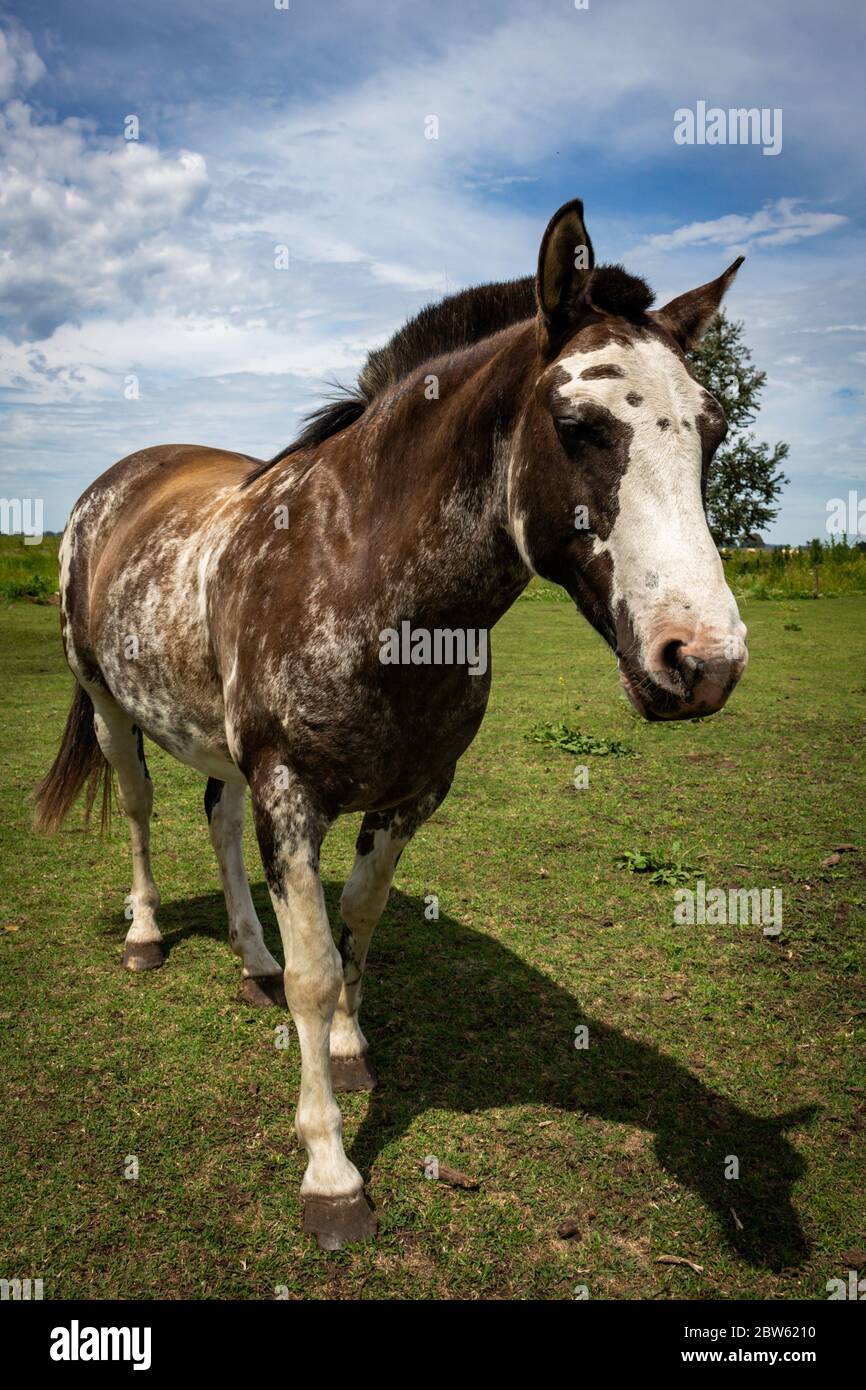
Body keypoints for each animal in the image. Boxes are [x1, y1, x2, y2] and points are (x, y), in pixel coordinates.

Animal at [33, 202, 750, 1251]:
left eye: (712, 432)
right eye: (577, 426)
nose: (703, 660)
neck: (365, 575)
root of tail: (115, 483)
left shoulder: (412, 794)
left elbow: (355, 928)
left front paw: (344, 1046)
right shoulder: (291, 793)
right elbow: (315, 970)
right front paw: (330, 1170)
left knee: (217, 822)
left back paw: (249, 955)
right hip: (111, 706)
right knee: (137, 812)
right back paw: (146, 934)